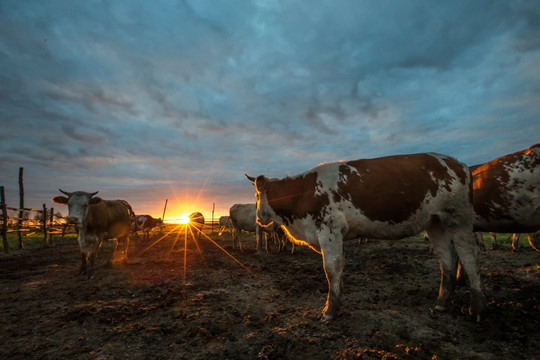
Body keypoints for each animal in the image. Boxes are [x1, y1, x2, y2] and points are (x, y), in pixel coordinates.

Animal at [245, 151, 486, 320]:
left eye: (256, 195)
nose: (258, 218)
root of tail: (458, 163)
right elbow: (339, 270)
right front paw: (336, 305)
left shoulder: (330, 231)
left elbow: (331, 270)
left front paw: (329, 311)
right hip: (435, 223)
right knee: (448, 260)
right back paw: (441, 304)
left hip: (458, 218)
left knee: (469, 257)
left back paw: (476, 309)